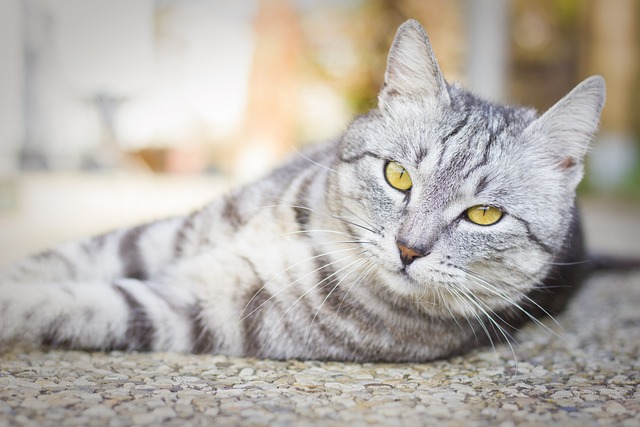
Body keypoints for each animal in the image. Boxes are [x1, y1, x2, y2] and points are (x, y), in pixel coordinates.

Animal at [0, 19, 616, 362]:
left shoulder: (205, 310)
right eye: (398, 176)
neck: (312, 231)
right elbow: (63, 259)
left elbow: (75, 303)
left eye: (484, 215)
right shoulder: (162, 237)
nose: (409, 249)